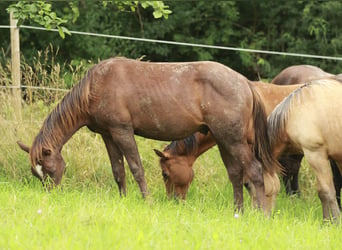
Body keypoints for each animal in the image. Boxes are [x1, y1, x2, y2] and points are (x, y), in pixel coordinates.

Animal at [16, 56, 280, 215]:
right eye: (36, 174)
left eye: (49, 169)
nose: (51, 196)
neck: (96, 86)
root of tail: (245, 83)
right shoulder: (108, 135)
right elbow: (118, 171)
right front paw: (123, 200)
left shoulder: (122, 131)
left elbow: (136, 168)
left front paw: (147, 201)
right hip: (224, 140)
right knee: (236, 174)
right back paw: (238, 212)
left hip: (234, 141)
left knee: (254, 171)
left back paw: (261, 213)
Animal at [268, 79, 342, 222]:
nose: (257, 213)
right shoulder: (336, 159)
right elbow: (324, 191)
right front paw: (326, 221)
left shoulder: (315, 154)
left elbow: (327, 191)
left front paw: (335, 221)